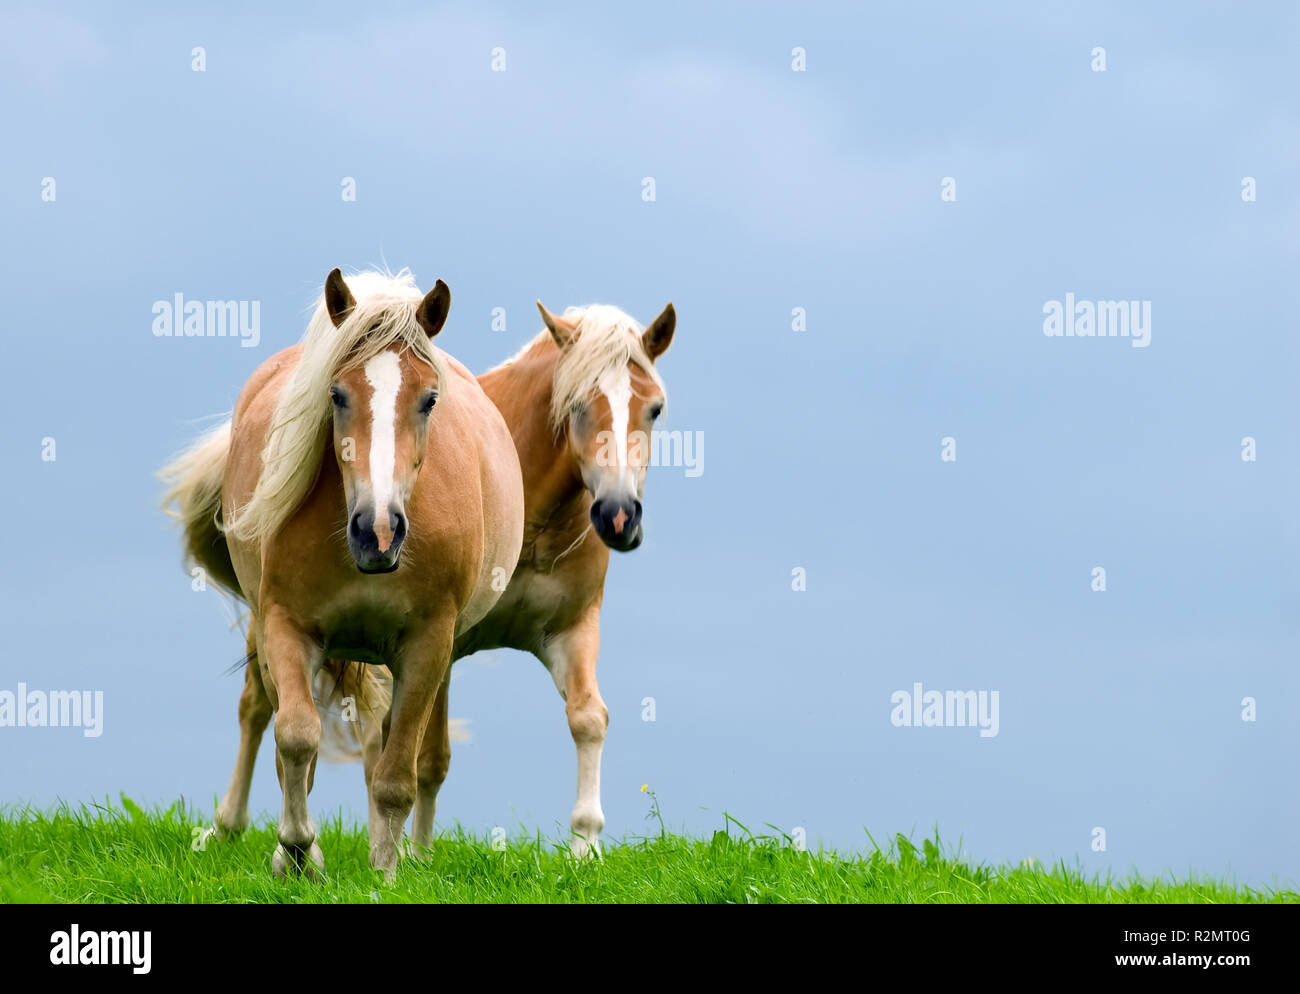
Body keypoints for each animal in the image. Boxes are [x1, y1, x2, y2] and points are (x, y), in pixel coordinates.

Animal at [161, 268, 524, 880]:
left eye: (429, 400)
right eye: (336, 394)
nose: (378, 531)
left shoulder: (429, 646)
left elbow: (396, 774)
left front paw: (386, 872)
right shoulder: (287, 627)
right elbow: (295, 738)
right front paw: (298, 852)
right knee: (262, 717)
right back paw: (246, 833)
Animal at [197, 296, 676, 858]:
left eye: (655, 409)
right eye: (577, 406)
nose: (619, 516)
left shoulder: (569, 630)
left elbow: (588, 718)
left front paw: (585, 846)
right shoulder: (444, 647)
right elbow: (428, 757)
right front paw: (414, 853)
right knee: (258, 709)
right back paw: (229, 825)